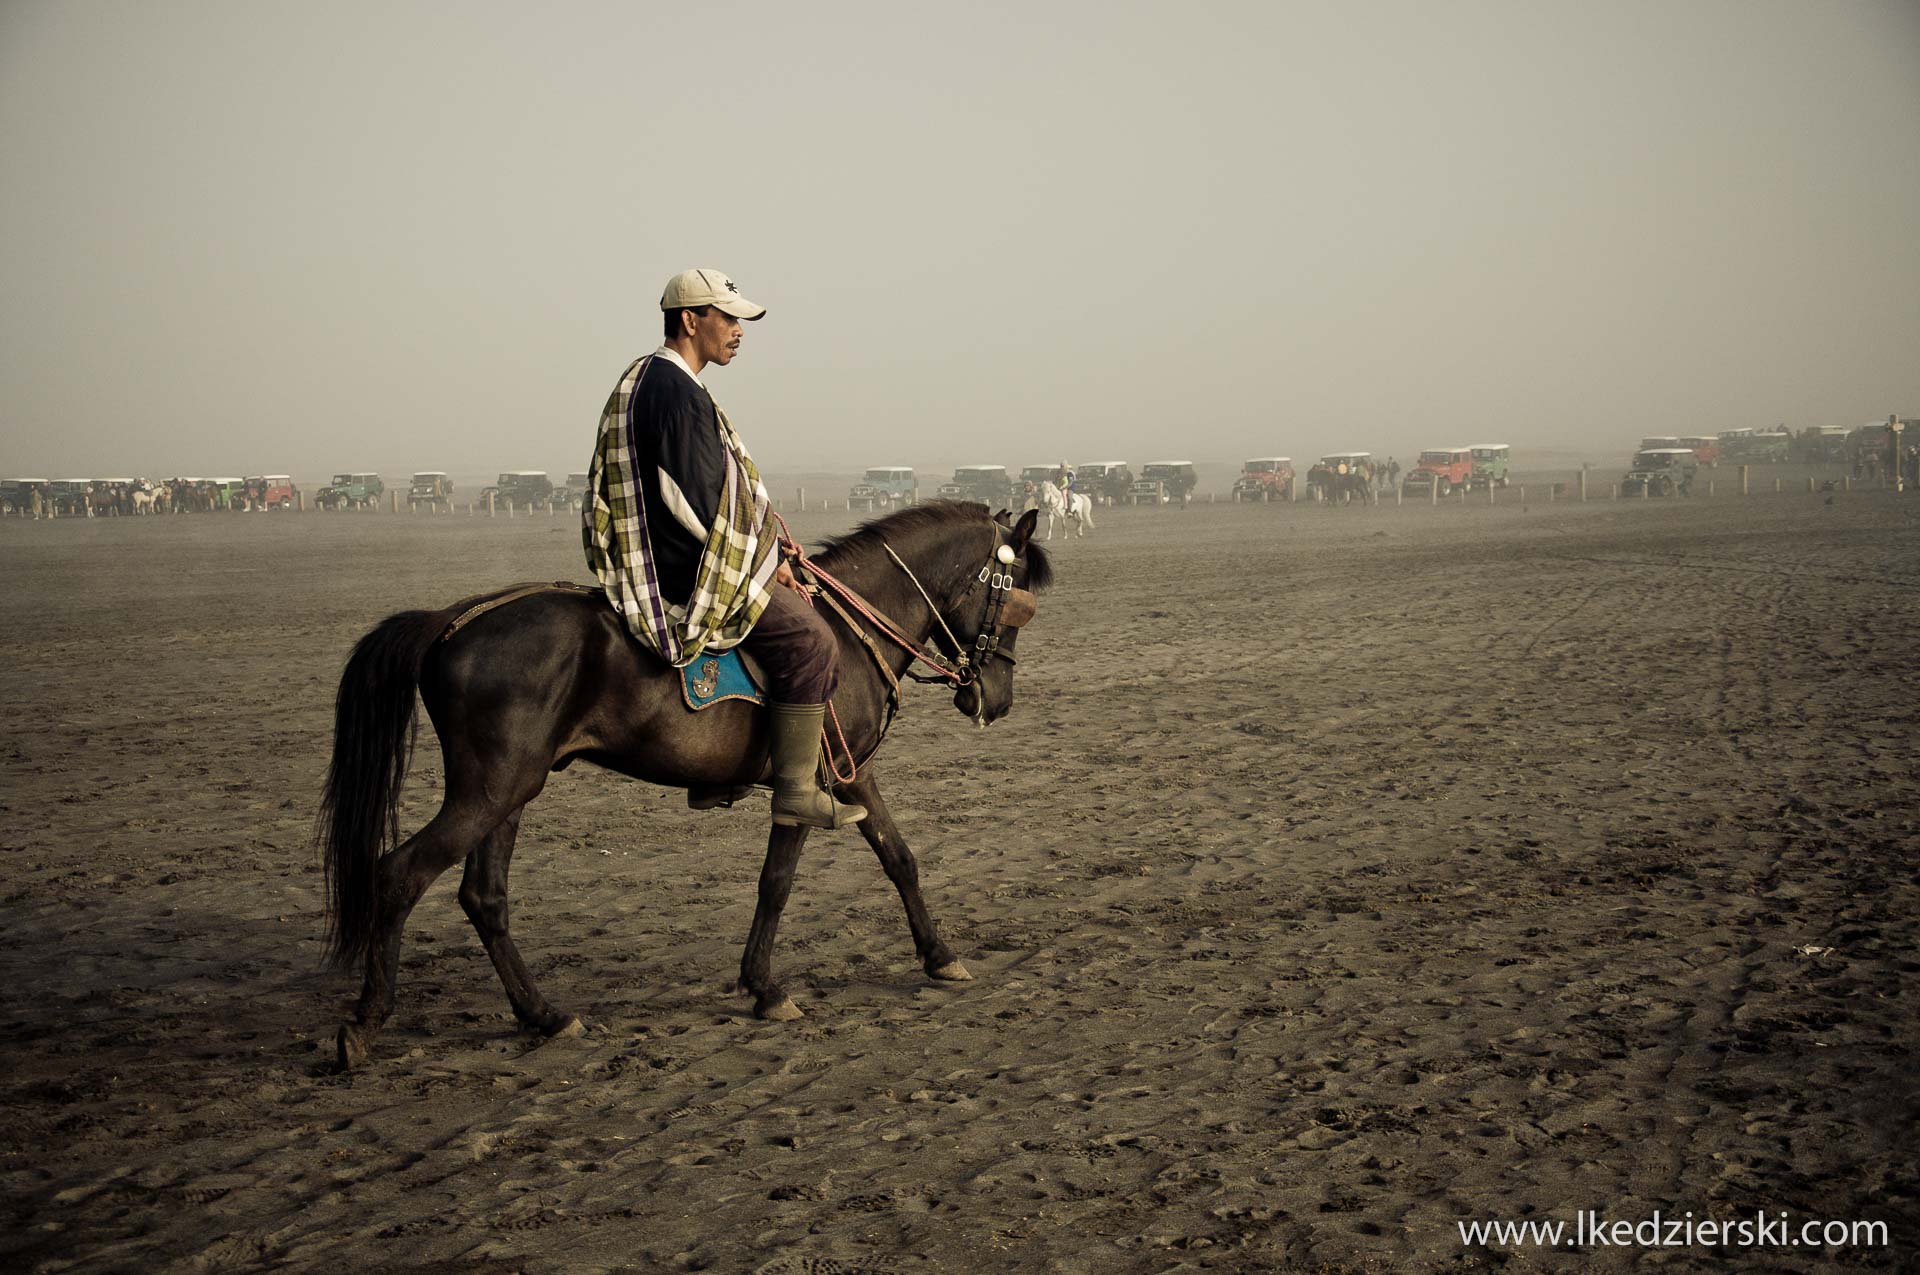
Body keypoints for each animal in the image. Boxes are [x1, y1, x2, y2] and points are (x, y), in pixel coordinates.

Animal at [322, 503, 1059, 1067]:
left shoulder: (854, 776)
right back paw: (364, 1024)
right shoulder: (812, 782)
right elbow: (778, 882)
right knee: (399, 875)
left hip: (508, 794)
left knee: (484, 897)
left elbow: (899, 858)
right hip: (486, 792)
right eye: (1015, 600)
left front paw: (939, 956)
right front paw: (766, 987)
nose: (997, 698)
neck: (850, 632)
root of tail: (454, 620)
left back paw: (543, 1014)